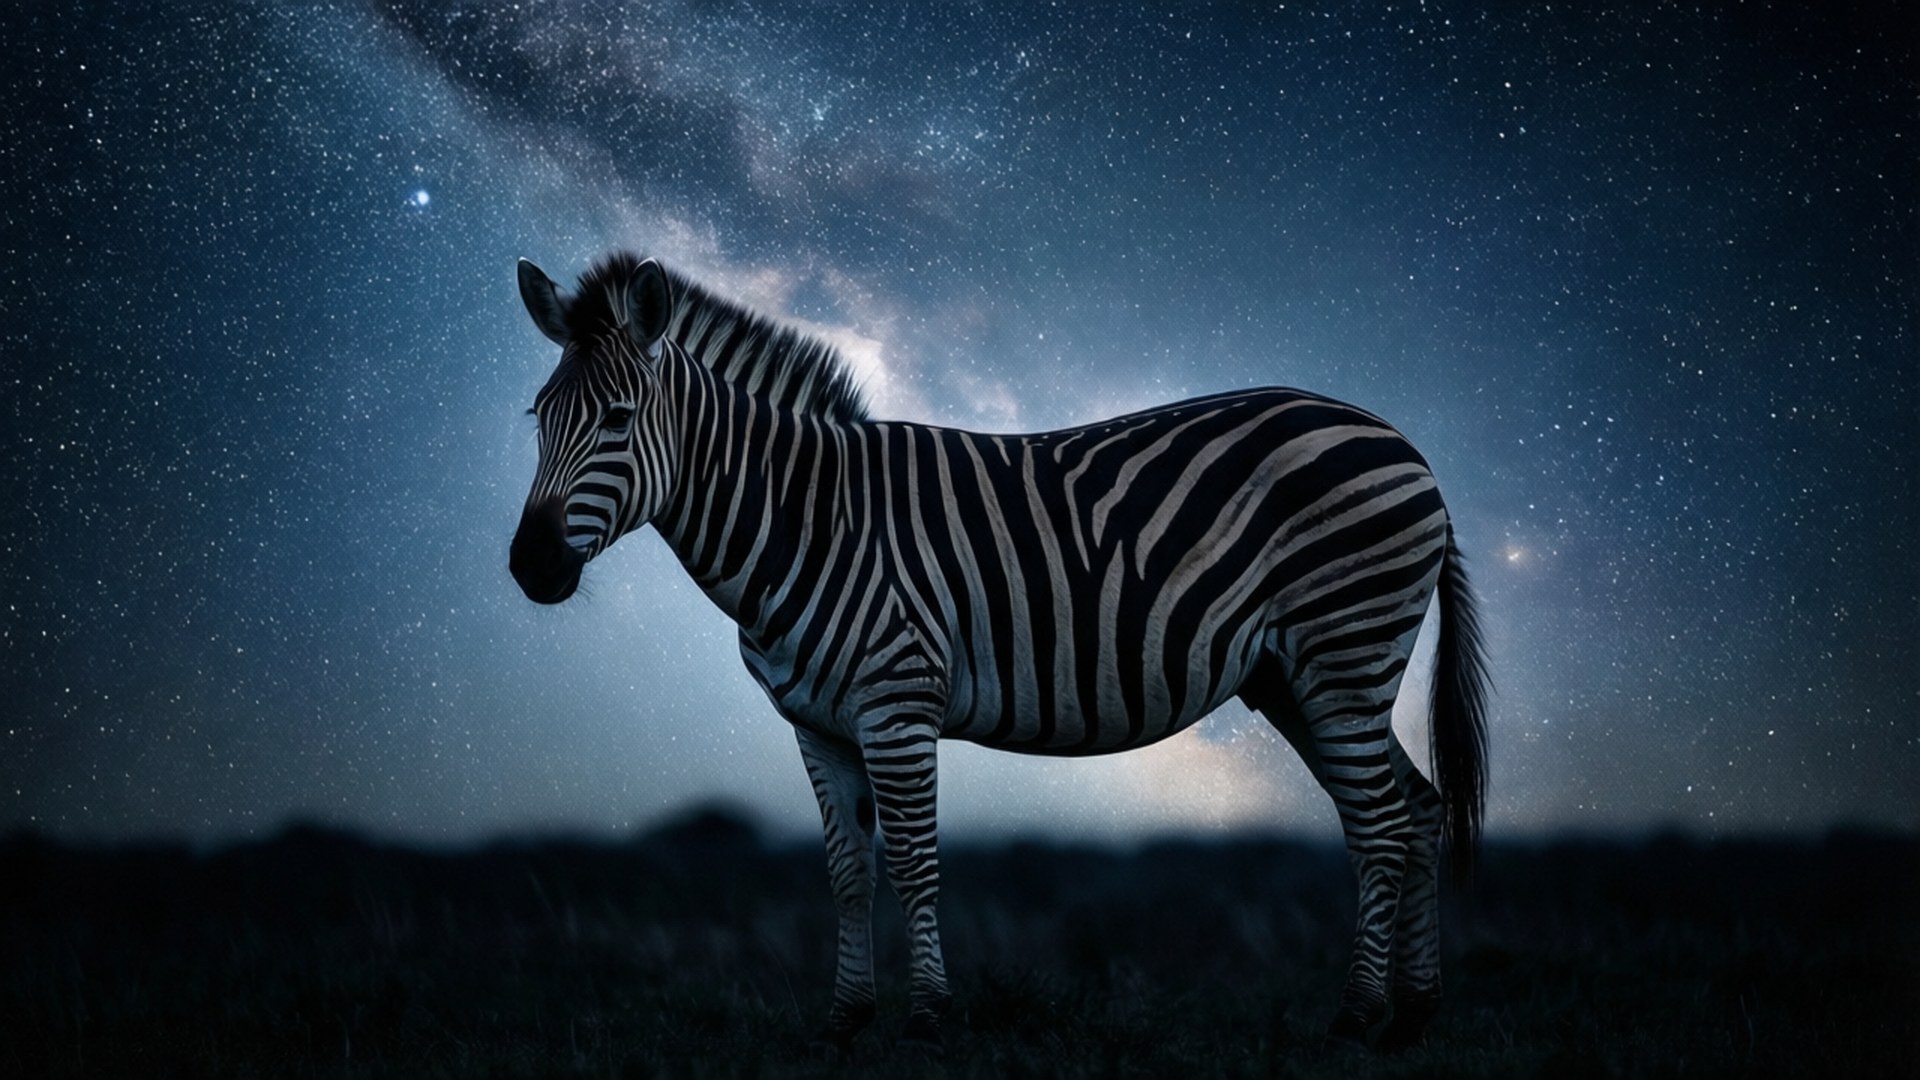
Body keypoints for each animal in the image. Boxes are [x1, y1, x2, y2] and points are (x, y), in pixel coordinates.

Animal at [508, 251, 1491, 1050]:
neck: (804, 518)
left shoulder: (897, 703)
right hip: (1300, 678)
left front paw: (928, 1021)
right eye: (538, 417)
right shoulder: (817, 726)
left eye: (619, 419)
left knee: (1381, 824)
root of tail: (1403, 444)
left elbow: (913, 865)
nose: (530, 566)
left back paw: (1357, 1017)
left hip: (1343, 651)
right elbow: (846, 874)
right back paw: (1414, 1015)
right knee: (1418, 808)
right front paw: (845, 1021)